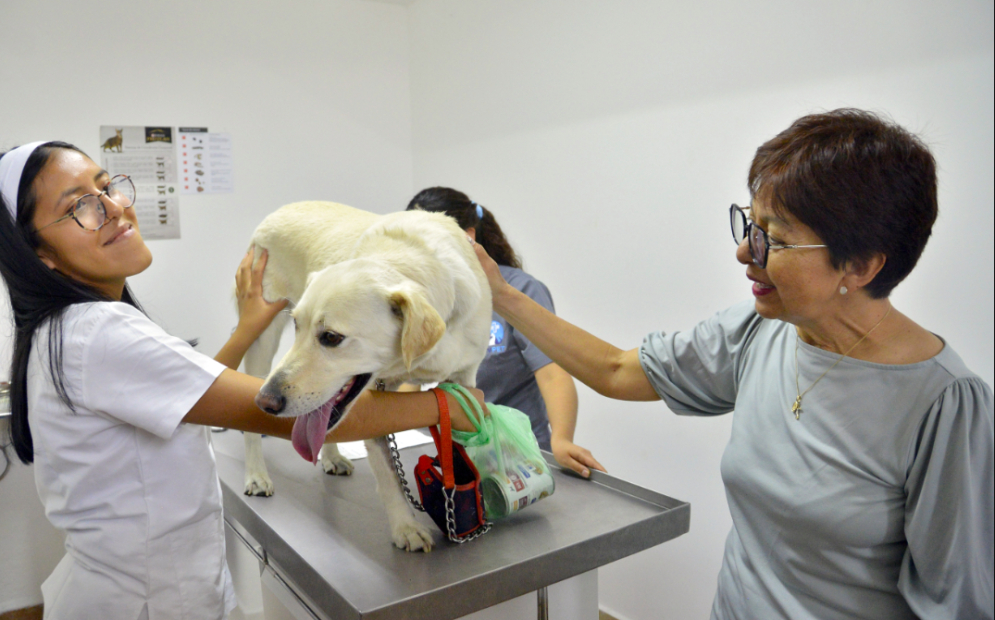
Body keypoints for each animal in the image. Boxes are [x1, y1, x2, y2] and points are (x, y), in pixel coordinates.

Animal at [241, 202, 490, 552]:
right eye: (297, 325)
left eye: (331, 337)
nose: (265, 401)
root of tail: (283, 208)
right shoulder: (377, 403)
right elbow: (388, 474)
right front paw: (406, 527)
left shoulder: (464, 381)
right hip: (261, 337)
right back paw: (256, 475)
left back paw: (331, 457)